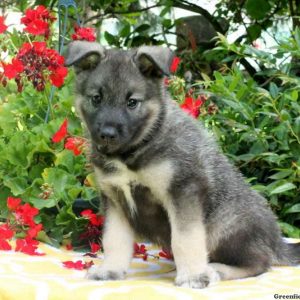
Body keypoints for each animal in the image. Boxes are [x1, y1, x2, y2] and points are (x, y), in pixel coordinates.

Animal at [65, 41, 300, 290]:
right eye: (96, 98)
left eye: (132, 102)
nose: (107, 135)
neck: (136, 148)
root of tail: (277, 242)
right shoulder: (115, 199)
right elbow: (114, 240)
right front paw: (110, 270)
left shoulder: (183, 191)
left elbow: (185, 239)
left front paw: (193, 276)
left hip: (225, 224)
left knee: (259, 263)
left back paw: (216, 269)